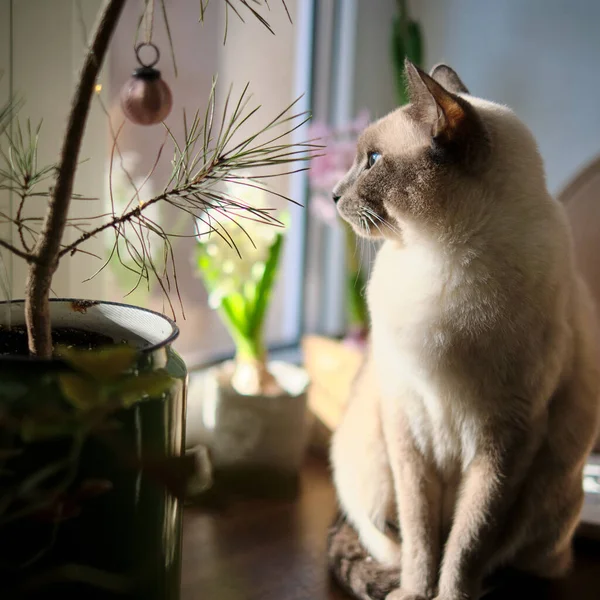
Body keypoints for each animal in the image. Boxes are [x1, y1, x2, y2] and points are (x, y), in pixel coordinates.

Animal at [328, 62, 600, 600]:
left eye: (372, 161)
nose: (332, 195)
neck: (440, 256)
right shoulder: (408, 429)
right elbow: (421, 539)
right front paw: (415, 595)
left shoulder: (504, 442)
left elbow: (466, 544)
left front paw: (448, 596)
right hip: (371, 468)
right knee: (387, 540)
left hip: (550, 493)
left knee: (515, 559)